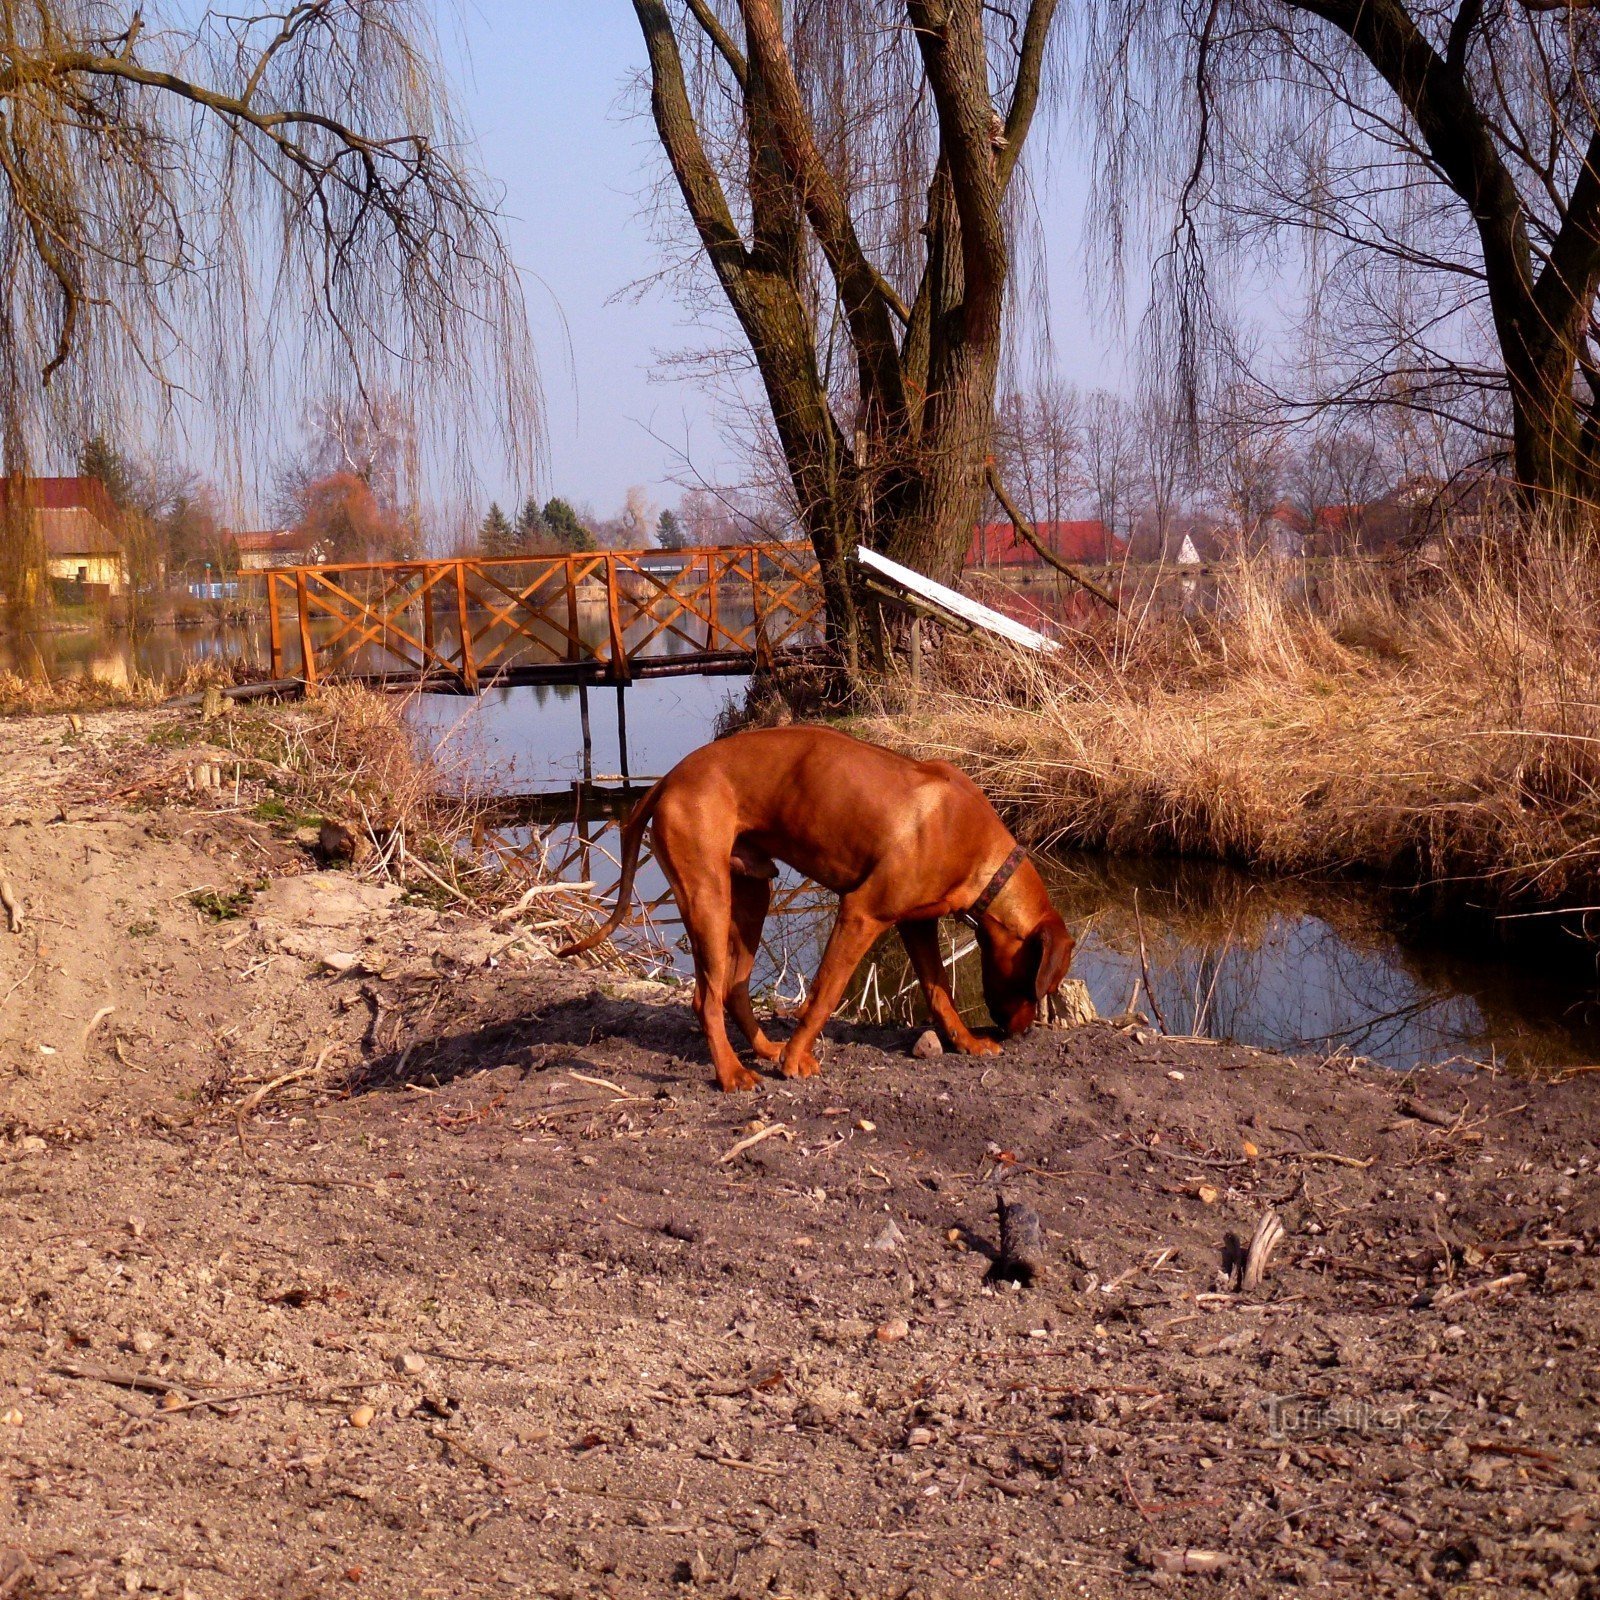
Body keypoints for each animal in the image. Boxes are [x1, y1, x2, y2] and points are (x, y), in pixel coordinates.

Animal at [560, 726, 1075, 1088]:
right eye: (1040, 986)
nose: (1022, 1034)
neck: (984, 856)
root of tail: (666, 779)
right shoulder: (861, 913)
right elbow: (826, 992)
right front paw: (794, 1061)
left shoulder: (917, 924)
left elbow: (939, 991)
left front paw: (967, 1042)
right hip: (707, 898)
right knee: (706, 997)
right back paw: (732, 1074)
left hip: (751, 896)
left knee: (733, 987)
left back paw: (765, 1048)